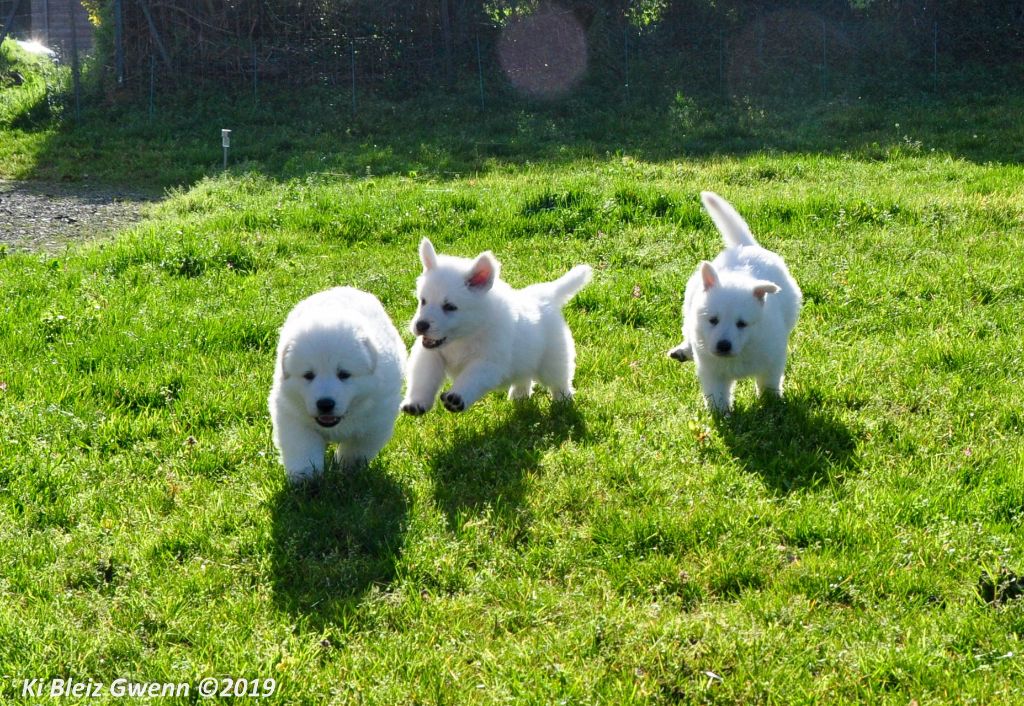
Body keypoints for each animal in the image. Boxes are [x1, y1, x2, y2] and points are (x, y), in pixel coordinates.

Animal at [270, 284, 405, 479]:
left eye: (344, 374)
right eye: (308, 375)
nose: (325, 404)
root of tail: (341, 288)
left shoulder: (375, 421)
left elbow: (355, 449)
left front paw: (348, 469)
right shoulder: (292, 413)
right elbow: (302, 446)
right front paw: (304, 476)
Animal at [399, 237, 593, 413]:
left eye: (449, 307)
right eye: (423, 301)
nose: (420, 325)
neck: (464, 337)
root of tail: (546, 296)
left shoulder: (487, 362)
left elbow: (471, 378)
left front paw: (457, 398)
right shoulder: (430, 355)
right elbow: (423, 379)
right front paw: (416, 402)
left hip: (553, 361)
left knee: (559, 381)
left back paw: (563, 402)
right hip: (525, 360)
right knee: (524, 377)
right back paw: (519, 396)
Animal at [667, 191, 802, 413]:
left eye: (742, 324)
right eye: (713, 320)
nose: (723, 345)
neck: (742, 349)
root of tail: (745, 246)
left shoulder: (772, 358)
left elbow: (768, 383)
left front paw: (772, 404)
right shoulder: (712, 369)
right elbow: (717, 394)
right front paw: (721, 415)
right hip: (689, 310)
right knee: (687, 332)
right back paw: (683, 350)